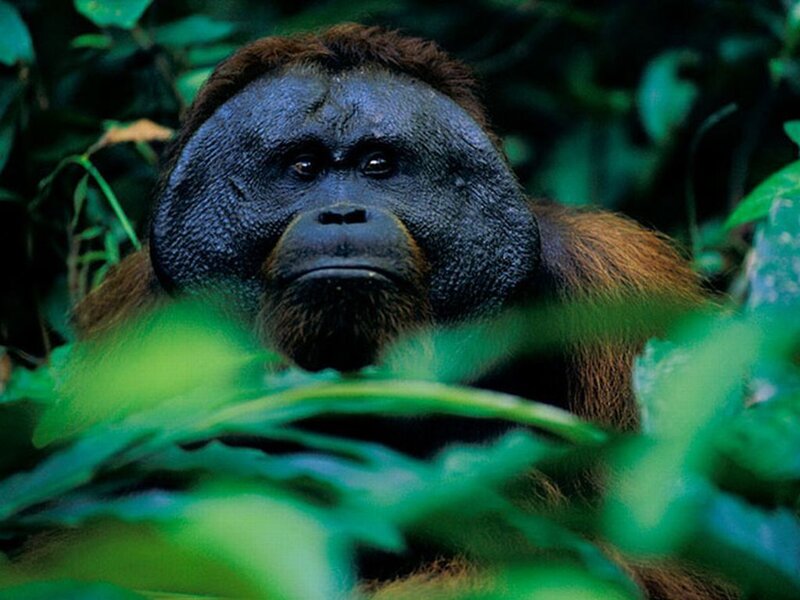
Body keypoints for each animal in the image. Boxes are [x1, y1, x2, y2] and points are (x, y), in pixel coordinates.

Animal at [72, 24, 732, 599]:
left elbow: (671, 565)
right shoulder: (132, 337)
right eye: (305, 166)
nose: (342, 214)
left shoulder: (620, 294)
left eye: (376, 165)